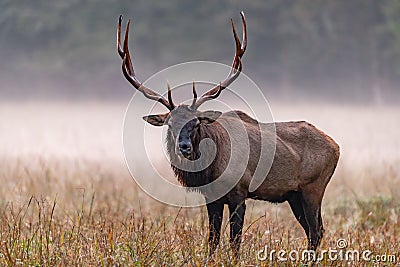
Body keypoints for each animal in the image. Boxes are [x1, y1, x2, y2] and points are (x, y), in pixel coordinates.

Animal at [116, 12, 340, 260]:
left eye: (196, 123)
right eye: (170, 124)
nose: (184, 146)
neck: (210, 170)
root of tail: (336, 146)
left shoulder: (239, 193)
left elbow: (235, 240)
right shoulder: (211, 198)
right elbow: (212, 239)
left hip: (314, 186)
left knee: (316, 230)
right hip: (294, 194)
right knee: (314, 229)